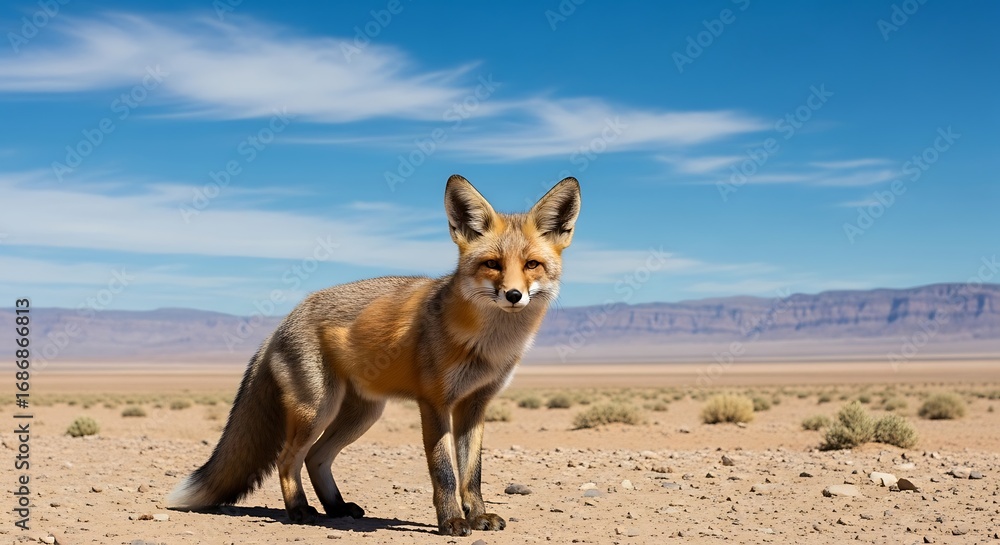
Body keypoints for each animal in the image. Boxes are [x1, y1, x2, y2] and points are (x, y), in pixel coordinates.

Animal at [167, 175, 581, 536]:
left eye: (531, 265)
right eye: (492, 264)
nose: (513, 295)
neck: (487, 345)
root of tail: (283, 321)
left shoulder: (475, 405)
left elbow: (472, 474)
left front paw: (477, 516)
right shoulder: (434, 404)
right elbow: (445, 473)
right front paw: (451, 521)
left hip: (362, 413)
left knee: (316, 457)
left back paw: (336, 507)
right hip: (317, 410)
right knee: (288, 459)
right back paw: (300, 510)